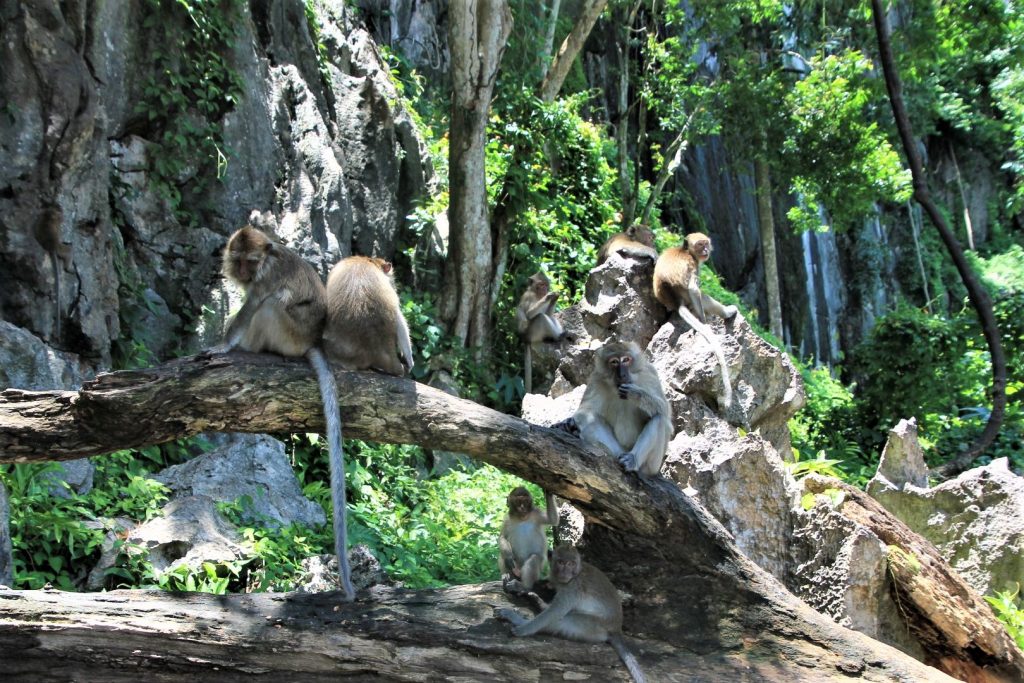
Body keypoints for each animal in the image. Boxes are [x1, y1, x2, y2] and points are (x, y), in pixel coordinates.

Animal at [32, 204, 70, 339]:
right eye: (57, 211)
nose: (61, 213)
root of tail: (51, 246)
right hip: (61, 248)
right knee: (69, 250)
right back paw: (69, 267)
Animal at [216, 227, 356, 602]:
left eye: (251, 263)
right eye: (238, 261)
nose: (244, 274)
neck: (267, 258)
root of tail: (311, 341)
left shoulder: (267, 277)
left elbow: (252, 305)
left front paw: (222, 346)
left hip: (288, 333)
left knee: (271, 305)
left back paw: (249, 347)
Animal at [495, 544, 647, 683]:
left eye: (571, 564)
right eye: (561, 562)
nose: (565, 572)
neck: (575, 574)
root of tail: (616, 629)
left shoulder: (573, 587)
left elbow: (556, 611)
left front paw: (523, 629)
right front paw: (522, 587)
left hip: (593, 628)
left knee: (563, 621)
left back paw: (518, 619)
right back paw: (538, 602)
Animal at [577, 339, 671, 479]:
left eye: (626, 359)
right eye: (614, 362)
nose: (622, 374)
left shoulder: (649, 373)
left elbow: (665, 411)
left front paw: (636, 394)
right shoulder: (596, 379)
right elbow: (585, 409)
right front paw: (566, 423)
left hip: (652, 466)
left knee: (659, 418)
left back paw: (633, 460)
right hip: (618, 450)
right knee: (588, 417)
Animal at [655, 232, 737, 409]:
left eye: (706, 244)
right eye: (700, 244)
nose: (705, 250)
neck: (686, 251)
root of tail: (675, 299)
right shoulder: (692, 264)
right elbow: (694, 289)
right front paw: (704, 321)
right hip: (687, 296)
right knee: (700, 295)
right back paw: (727, 312)